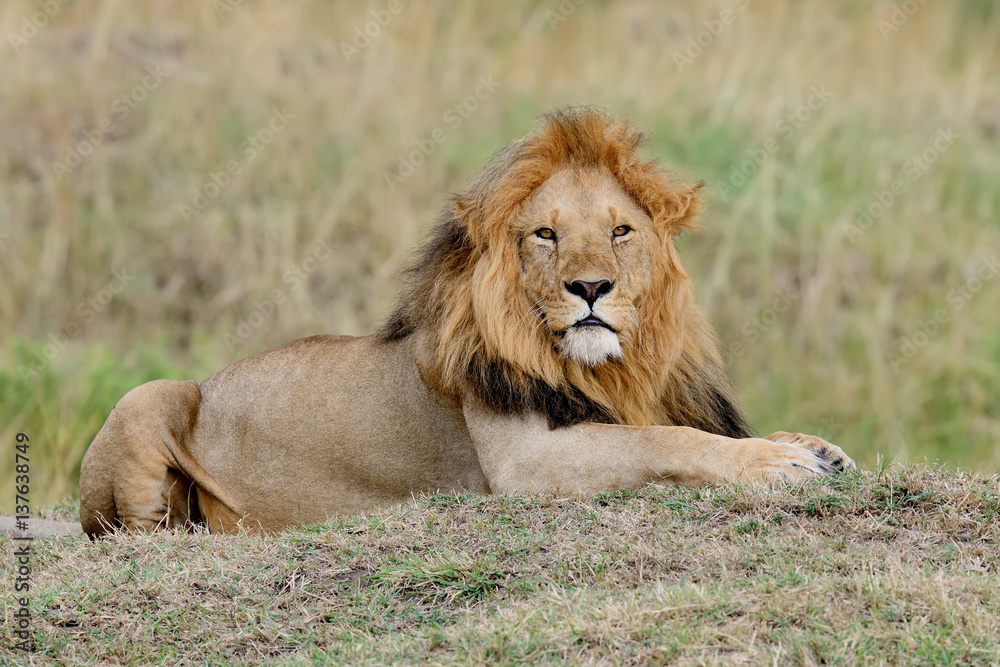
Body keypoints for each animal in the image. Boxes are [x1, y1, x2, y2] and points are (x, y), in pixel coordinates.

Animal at [82, 108, 856, 536]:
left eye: (621, 231)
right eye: (545, 234)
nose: (590, 288)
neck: (614, 367)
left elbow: (680, 427)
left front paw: (814, 446)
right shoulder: (523, 464)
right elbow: (661, 439)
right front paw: (777, 463)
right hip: (150, 396)